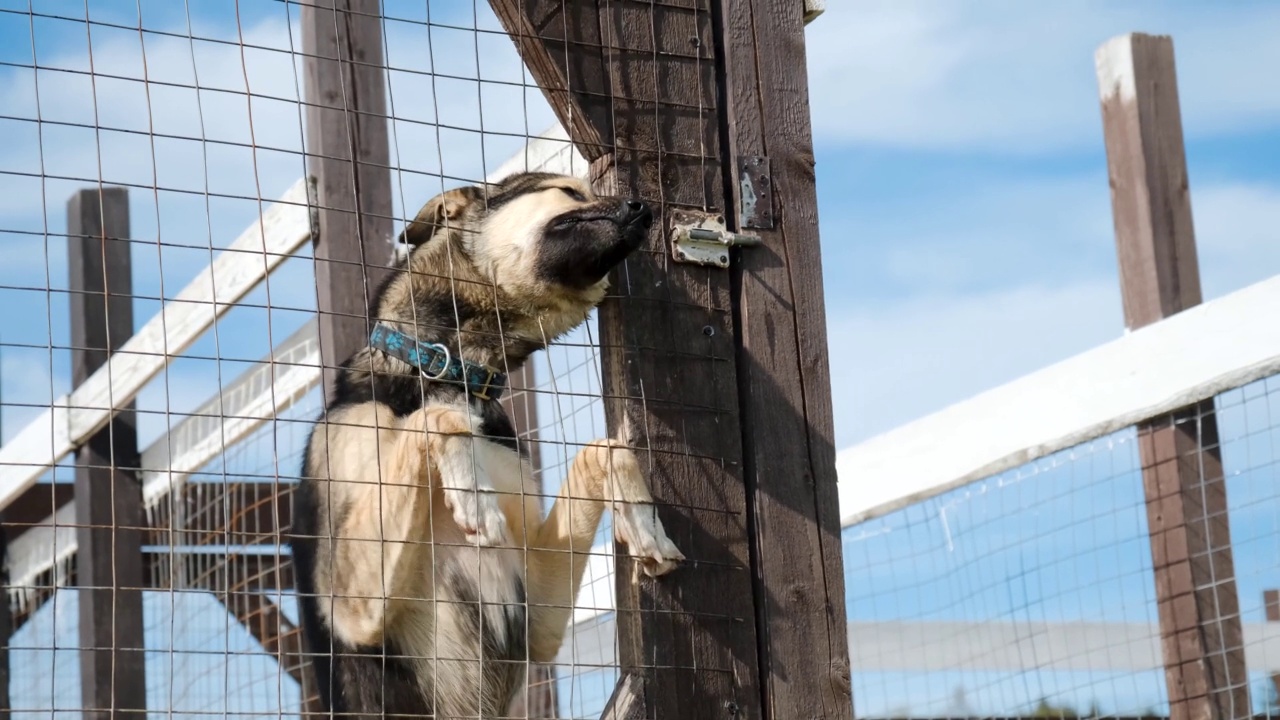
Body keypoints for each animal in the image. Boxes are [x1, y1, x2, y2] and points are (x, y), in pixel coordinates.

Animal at [291, 170, 691, 712]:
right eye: (569, 193)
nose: (645, 209)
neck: (457, 373)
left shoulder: (539, 618)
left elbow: (607, 449)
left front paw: (644, 522)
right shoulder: (351, 605)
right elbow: (437, 419)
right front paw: (473, 494)